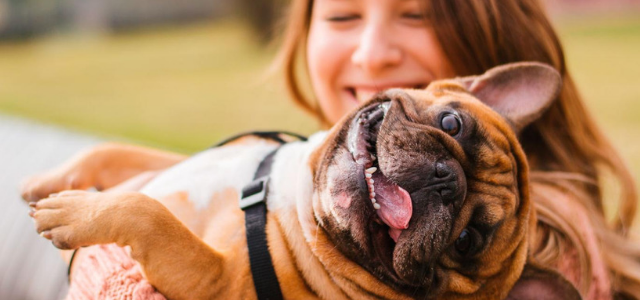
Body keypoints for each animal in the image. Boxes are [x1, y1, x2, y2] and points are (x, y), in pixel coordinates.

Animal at [23, 62, 580, 298]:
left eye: (466, 241)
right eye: (451, 123)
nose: (445, 181)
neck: (294, 196)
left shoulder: (214, 281)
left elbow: (150, 214)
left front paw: (71, 212)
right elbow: (113, 152)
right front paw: (45, 182)